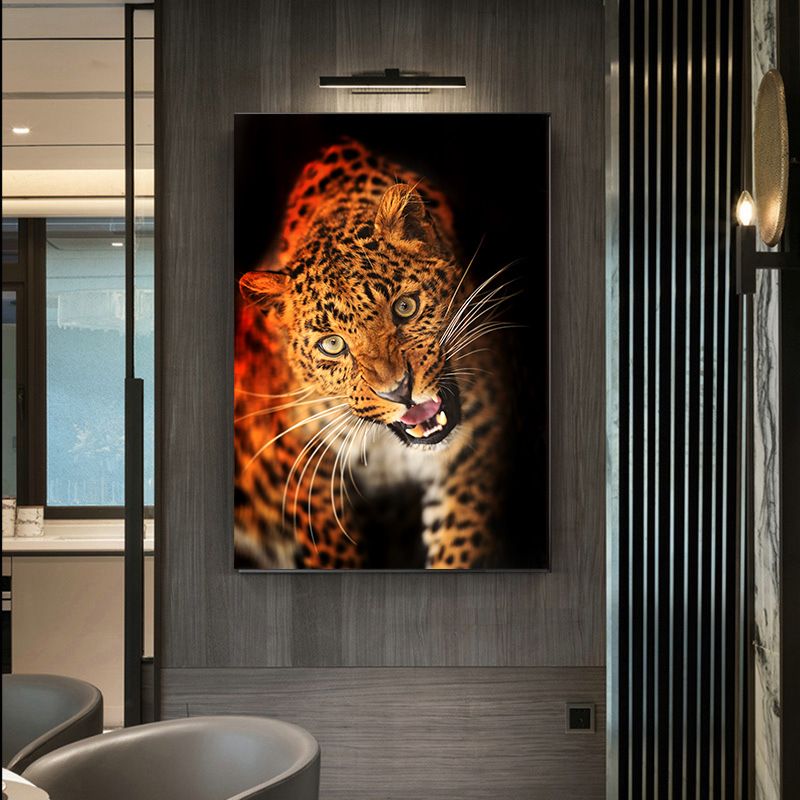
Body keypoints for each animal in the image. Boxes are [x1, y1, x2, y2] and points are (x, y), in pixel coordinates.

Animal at [234, 138, 518, 569]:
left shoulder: (476, 440)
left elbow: (460, 542)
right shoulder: (307, 468)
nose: (399, 391)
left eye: (405, 307)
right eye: (332, 344)